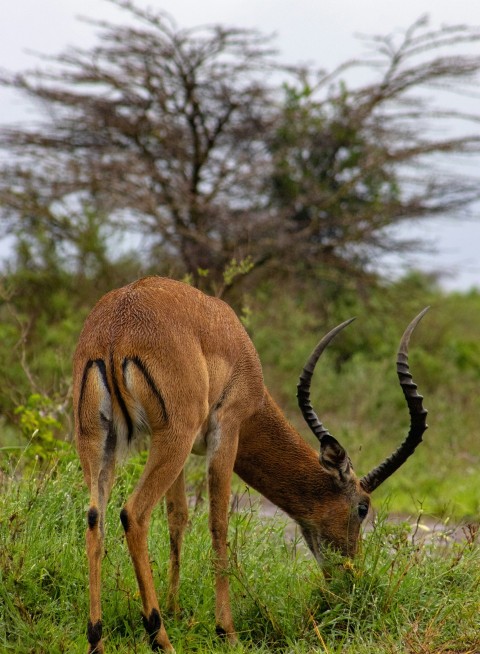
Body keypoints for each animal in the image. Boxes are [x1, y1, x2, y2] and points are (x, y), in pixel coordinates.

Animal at [74, 278, 428, 654]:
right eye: (362, 508)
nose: (349, 574)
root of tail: (117, 328)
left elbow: (178, 518)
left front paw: (176, 609)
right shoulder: (227, 431)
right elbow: (218, 524)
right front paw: (226, 631)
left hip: (101, 439)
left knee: (95, 518)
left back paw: (96, 638)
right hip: (172, 436)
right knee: (134, 514)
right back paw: (160, 639)